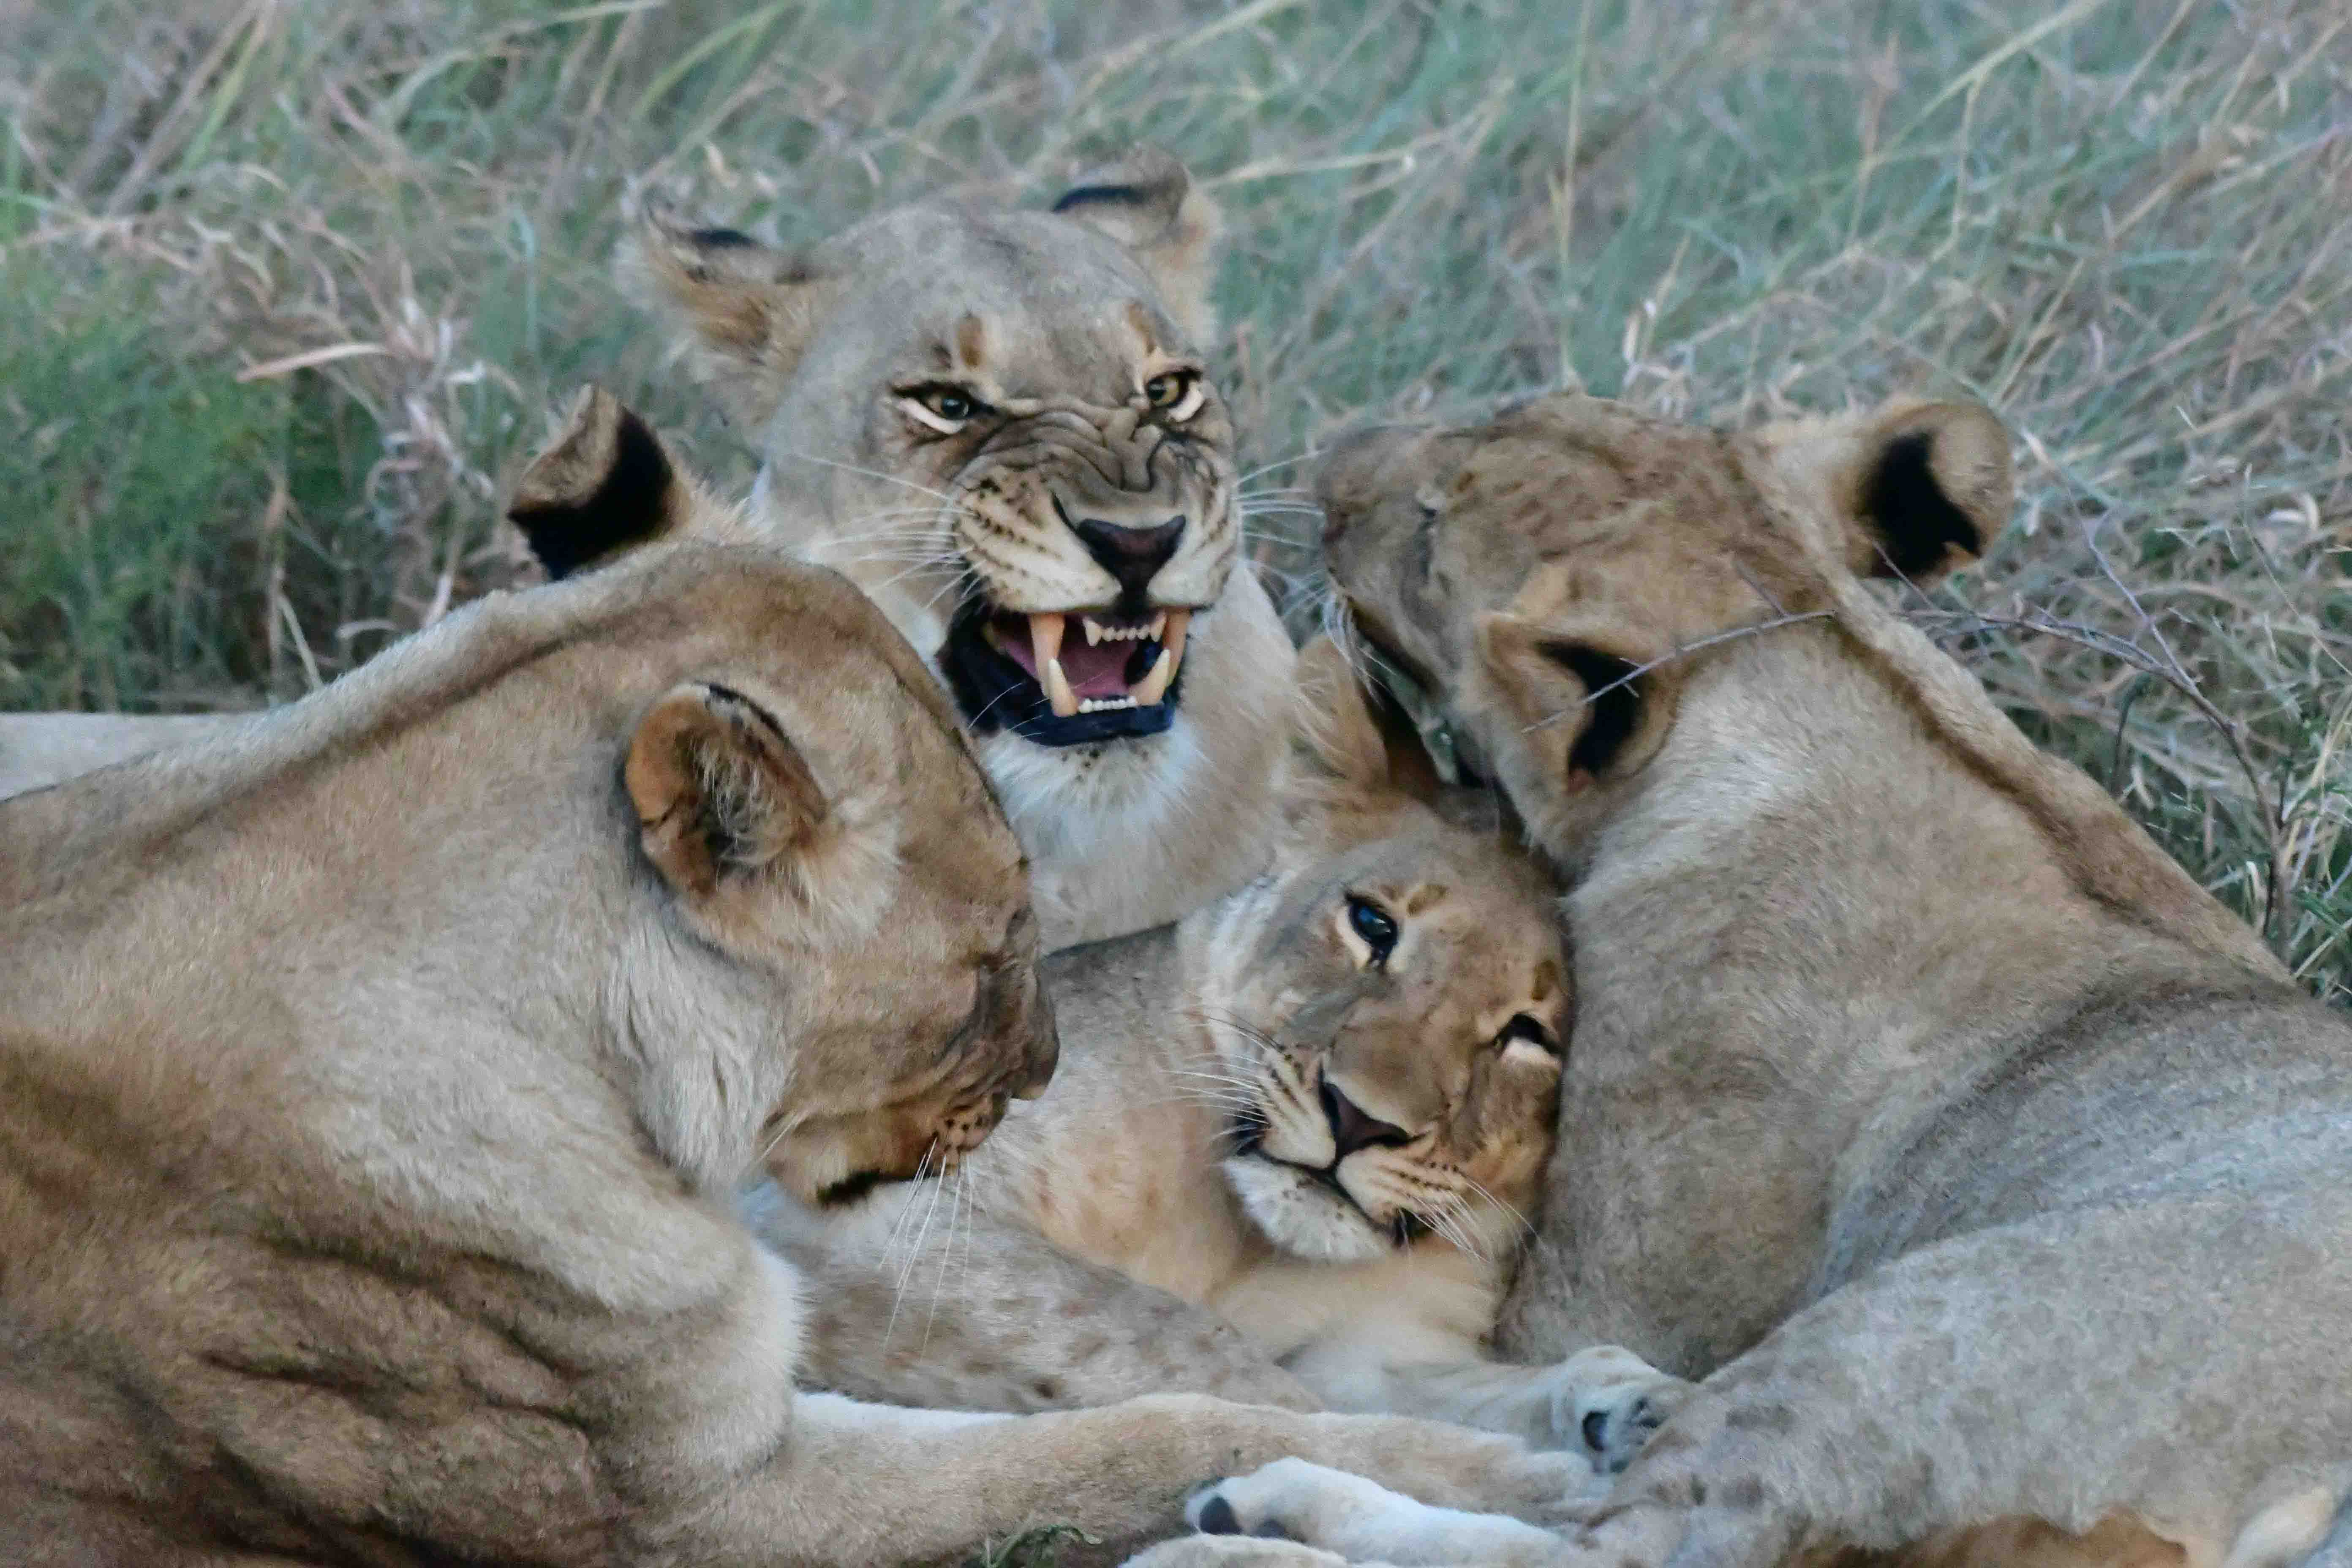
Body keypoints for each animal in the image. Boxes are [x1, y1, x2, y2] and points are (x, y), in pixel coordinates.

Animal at [770, 635, 1685, 1470]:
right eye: (1373, 924)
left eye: (1529, 1035)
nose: (1358, 1119)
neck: (1247, 1246)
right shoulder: (837, 1210)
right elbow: (1173, 1341)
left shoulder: (1378, 1344)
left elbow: (1466, 1386)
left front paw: (1624, 1396)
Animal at [1137, 392, 2352, 1568]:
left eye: (1433, 526)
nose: (1333, 462)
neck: (1814, 673)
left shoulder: (1593, 1290)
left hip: (1881, 1353)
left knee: (1610, 1547)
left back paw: (1254, 1519)